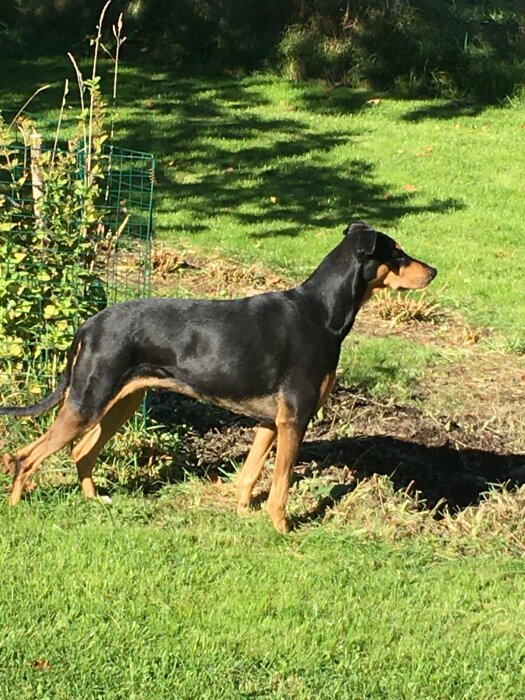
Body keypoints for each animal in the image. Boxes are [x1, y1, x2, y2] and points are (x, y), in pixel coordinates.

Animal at [0, 221, 434, 528]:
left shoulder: (270, 422)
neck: (321, 314)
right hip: (87, 403)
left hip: (120, 403)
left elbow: (249, 476)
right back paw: (17, 506)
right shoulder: (294, 419)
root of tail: (88, 325)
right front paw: (283, 530)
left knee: (80, 452)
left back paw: (93, 500)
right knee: (25, 457)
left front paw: (243, 515)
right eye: (398, 254)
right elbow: (280, 486)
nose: (433, 270)